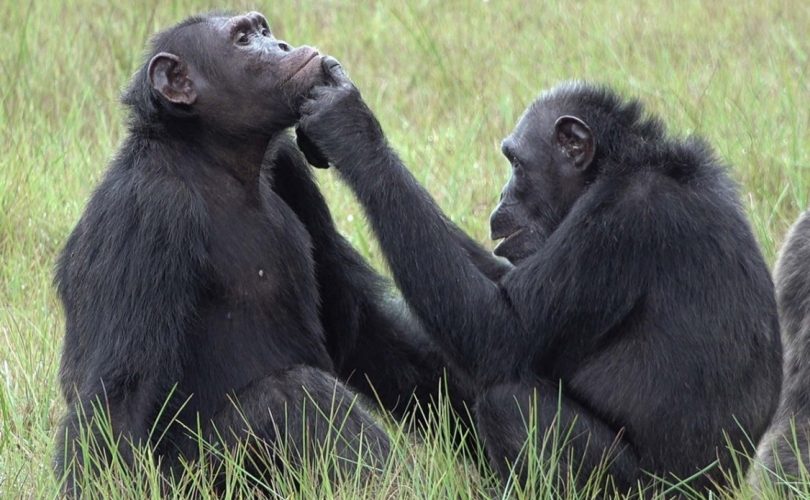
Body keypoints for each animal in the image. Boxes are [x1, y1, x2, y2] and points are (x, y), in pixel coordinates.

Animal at [53, 11, 468, 492]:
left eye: (262, 30)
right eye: (243, 40)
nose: (282, 45)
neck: (214, 159)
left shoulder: (290, 167)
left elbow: (358, 325)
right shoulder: (146, 211)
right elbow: (121, 393)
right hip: (197, 480)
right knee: (295, 394)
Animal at [296, 64, 784, 494]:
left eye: (516, 162)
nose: (502, 194)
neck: (617, 167)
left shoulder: (621, 223)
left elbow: (501, 330)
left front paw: (350, 128)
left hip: (638, 490)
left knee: (508, 403)